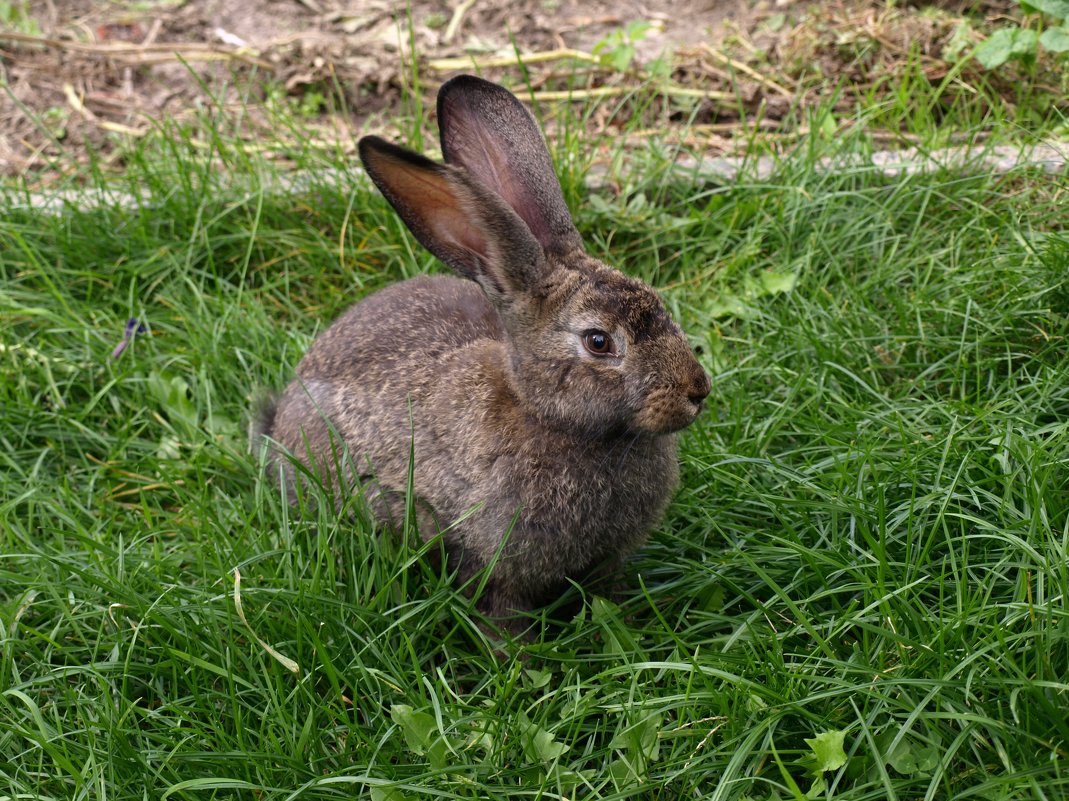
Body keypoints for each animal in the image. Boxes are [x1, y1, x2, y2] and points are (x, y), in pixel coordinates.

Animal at [257, 73, 709, 624]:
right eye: (599, 342)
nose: (697, 390)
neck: (545, 413)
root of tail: (279, 418)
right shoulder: (488, 559)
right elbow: (500, 613)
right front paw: (519, 650)